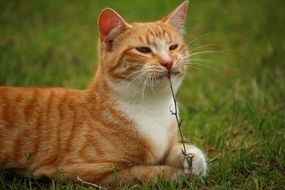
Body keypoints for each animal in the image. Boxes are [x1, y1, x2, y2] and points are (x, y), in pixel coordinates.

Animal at [0, 0, 205, 186]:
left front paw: (193, 161)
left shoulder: (165, 146)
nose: (168, 62)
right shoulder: (82, 171)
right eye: (143, 50)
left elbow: (179, 150)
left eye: (173, 47)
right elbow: (144, 172)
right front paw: (177, 174)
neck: (153, 104)